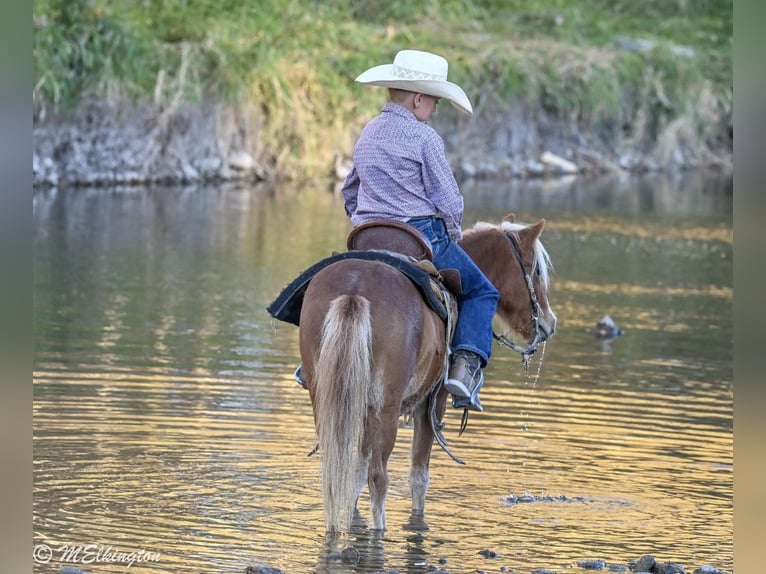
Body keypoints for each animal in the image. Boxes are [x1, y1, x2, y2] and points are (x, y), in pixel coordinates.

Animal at [297, 213, 557, 533]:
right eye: (535, 271)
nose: (548, 323)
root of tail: (355, 290)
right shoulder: (432, 404)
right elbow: (418, 476)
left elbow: (354, 474)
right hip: (386, 409)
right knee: (379, 478)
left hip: (328, 401)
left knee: (335, 471)